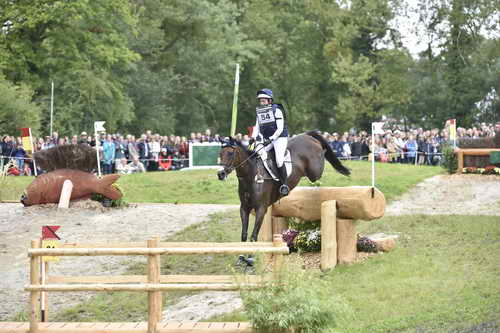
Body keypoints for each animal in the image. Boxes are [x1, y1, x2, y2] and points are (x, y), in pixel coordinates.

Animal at [217, 130, 350, 262]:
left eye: (230, 153)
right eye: (220, 153)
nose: (220, 174)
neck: (252, 175)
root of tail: (306, 135)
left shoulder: (261, 209)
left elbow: (254, 235)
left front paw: (250, 259)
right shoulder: (244, 208)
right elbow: (244, 235)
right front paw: (241, 257)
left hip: (314, 172)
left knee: (318, 168)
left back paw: (325, 151)